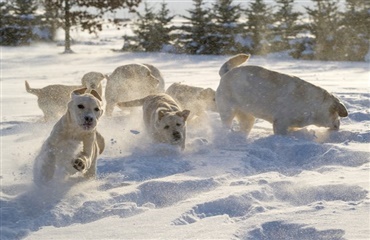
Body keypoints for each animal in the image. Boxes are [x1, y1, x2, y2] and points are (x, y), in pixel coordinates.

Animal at [215, 54, 348, 136]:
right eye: (338, 114)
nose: (338, 126)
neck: (313, 106)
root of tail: (225, 73)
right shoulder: (280, 123)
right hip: (227, 111)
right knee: (226, 124)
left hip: (247, 116)